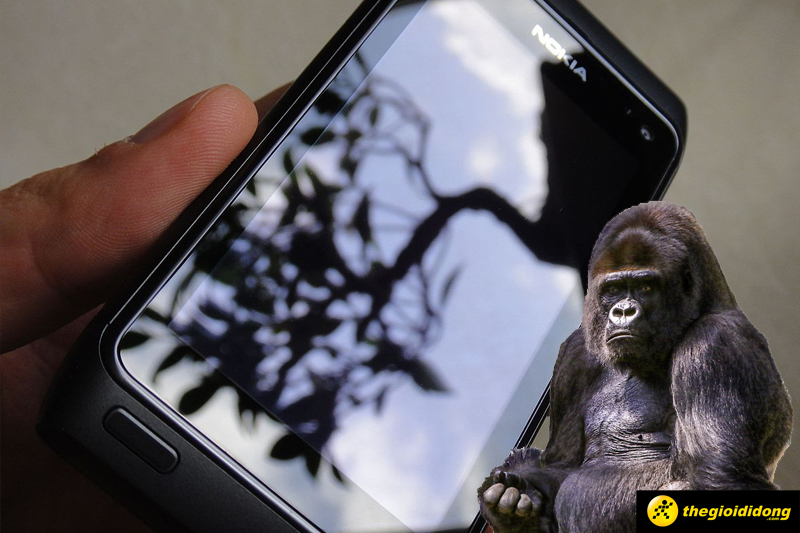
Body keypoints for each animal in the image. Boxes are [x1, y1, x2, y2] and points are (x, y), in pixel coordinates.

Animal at [477, 201, 792, 533]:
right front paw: (514, 506)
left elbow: (722, 481)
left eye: (645, 286)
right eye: (613, 289)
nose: (624, 311)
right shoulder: (575, 354)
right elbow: (562, 466)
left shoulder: (714, 343)